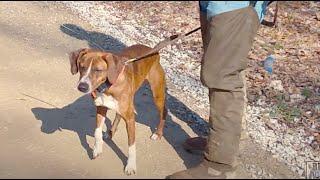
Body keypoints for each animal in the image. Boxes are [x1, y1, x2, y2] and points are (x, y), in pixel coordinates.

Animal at [68, 44, 166, 175]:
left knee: (163, 112)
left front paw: (131, 166)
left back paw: (158, 134)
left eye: (98, 70)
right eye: (81, 66)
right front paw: (97, 148)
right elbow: (97, 131)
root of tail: (153, 50)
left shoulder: (130, 119)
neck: (108, 86)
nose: (82, 87)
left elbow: (131, 145)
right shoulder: (101, 108)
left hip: (157, 95)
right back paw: (110, 132)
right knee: (118, 115)